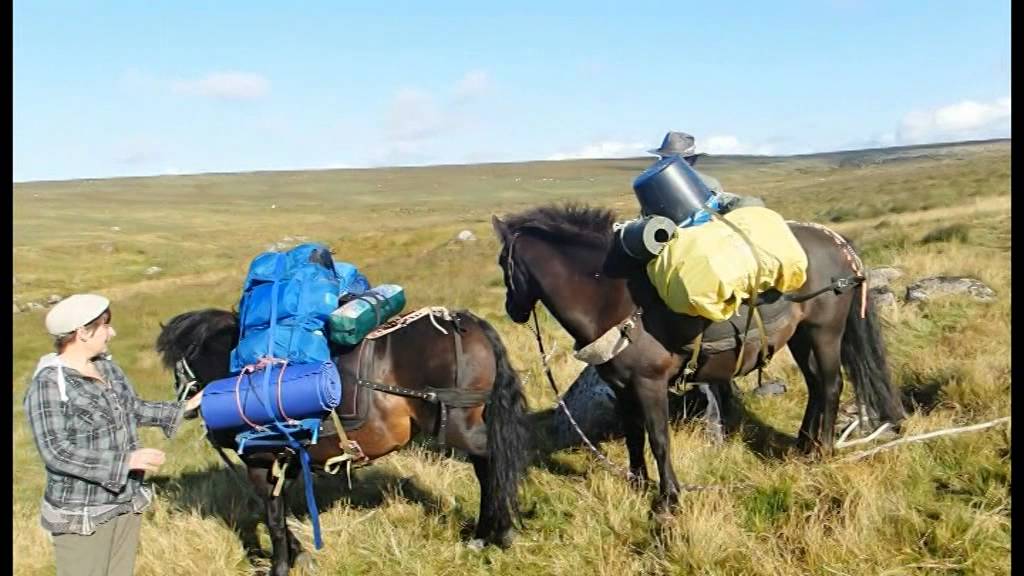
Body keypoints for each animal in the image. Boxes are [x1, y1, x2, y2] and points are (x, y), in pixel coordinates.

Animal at [156, 307, 529, 576]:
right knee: (487, 467)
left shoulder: (262, 462)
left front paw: (281, 566)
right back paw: (486, 533)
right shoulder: (290, 460)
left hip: (459, 426)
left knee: (495, 462)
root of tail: (464, 322)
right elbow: (276, 513)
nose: (183, 408)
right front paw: (301, 555)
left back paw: (499, 531)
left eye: (178, 367)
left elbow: (272, 517)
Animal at [491, 203, 906, 513]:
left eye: (501, 262)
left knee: (832, 385)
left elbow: (659, 439)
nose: (512, 309)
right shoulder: (622, 387)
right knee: (817, 385)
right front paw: (637, 485)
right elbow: (633, 437)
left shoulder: (649, 383)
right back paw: (804, 446)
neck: (610, 296)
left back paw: (823, 451)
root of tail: (839, 244)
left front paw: (669, 499)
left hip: (824, 332)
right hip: (800, 337)